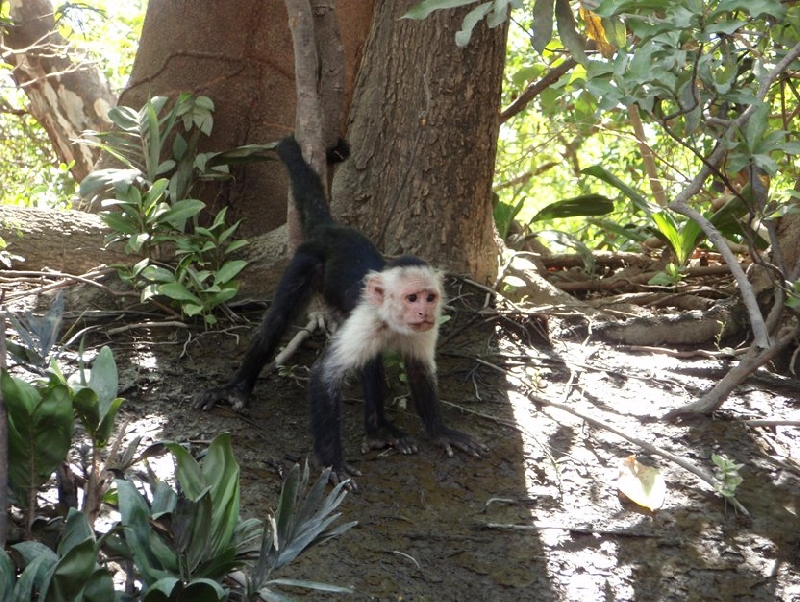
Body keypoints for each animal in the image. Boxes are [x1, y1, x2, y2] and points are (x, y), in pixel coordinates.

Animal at [195, 136, 488, 482]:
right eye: (411, 298)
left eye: (429, 298)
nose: (424, 312)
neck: (392, 321)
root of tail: (333, 228)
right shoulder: (367, 319)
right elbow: (325, 376)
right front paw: (332, 462)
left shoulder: (423, 331)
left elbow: (418, 369)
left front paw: (441, 432)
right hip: (307, 260)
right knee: (277, 321)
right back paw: (237, 387)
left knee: (371, 360)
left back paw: (379, 431)